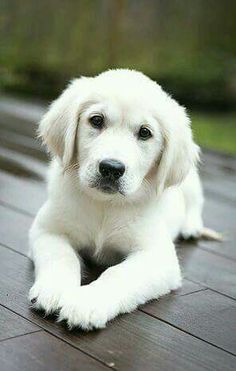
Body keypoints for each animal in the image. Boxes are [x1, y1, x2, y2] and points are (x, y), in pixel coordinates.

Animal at [29, 69, 205, 332]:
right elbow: (62, 257)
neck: (105, 205)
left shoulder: (157, 256)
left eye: (145, 133)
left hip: (190, 181)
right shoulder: (47, 230)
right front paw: (54, 290)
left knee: (196, 203)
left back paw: (191, 227)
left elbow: (119, 274)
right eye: (96, 120)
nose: (111, 168)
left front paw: (87, 303)